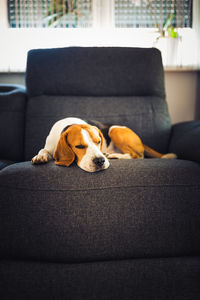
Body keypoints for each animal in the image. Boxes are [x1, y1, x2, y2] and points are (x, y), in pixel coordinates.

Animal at [31, 118, 177, 173]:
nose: (100, 161)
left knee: (137, 156)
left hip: (114, 130)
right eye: (79, 146)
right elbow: (43, 149)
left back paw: (114, 155)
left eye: (98, 142)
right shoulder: (50, 145)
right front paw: (40, 157)